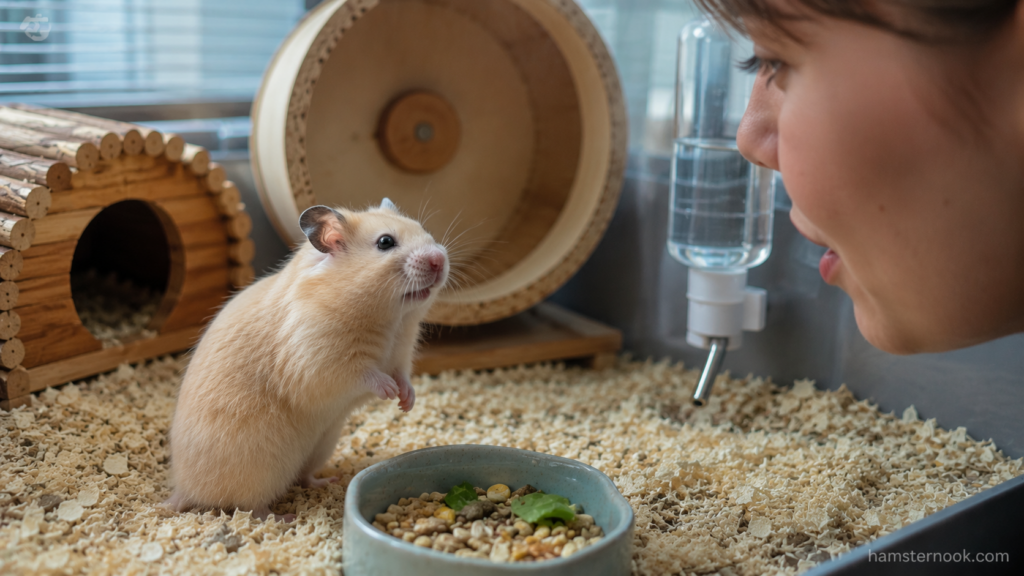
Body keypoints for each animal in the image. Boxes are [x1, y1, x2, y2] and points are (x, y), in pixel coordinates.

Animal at [164, 198, 449, 521]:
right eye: (385, 242)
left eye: (423, 228)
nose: (440, 259)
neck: (393, 318)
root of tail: (183, 490)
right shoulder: (322, 363)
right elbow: (366, 376)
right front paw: (389, 392)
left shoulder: (400, 356)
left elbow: (403, 377)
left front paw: (406, 402)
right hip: (260, 471)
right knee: (249, 507)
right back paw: (283, 517)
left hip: (320, 446)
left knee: (302, 477)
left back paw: (327, 481)